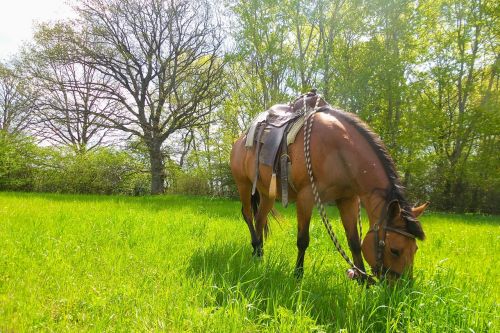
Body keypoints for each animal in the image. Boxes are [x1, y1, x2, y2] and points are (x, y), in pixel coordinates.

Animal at [229, 91, 426, 280]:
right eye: (395, 250)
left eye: (415, 249)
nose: (402, 288)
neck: (338, 151)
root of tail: (240, 139)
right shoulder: (306, 197)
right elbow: (303, 240)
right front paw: (298, 275)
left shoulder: (348, 199)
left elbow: (354, 242)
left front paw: (362, 279)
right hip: (243, 185)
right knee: (248, 214)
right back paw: (255, 246)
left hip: (267, 193)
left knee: (260, 219)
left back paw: (259, 254)